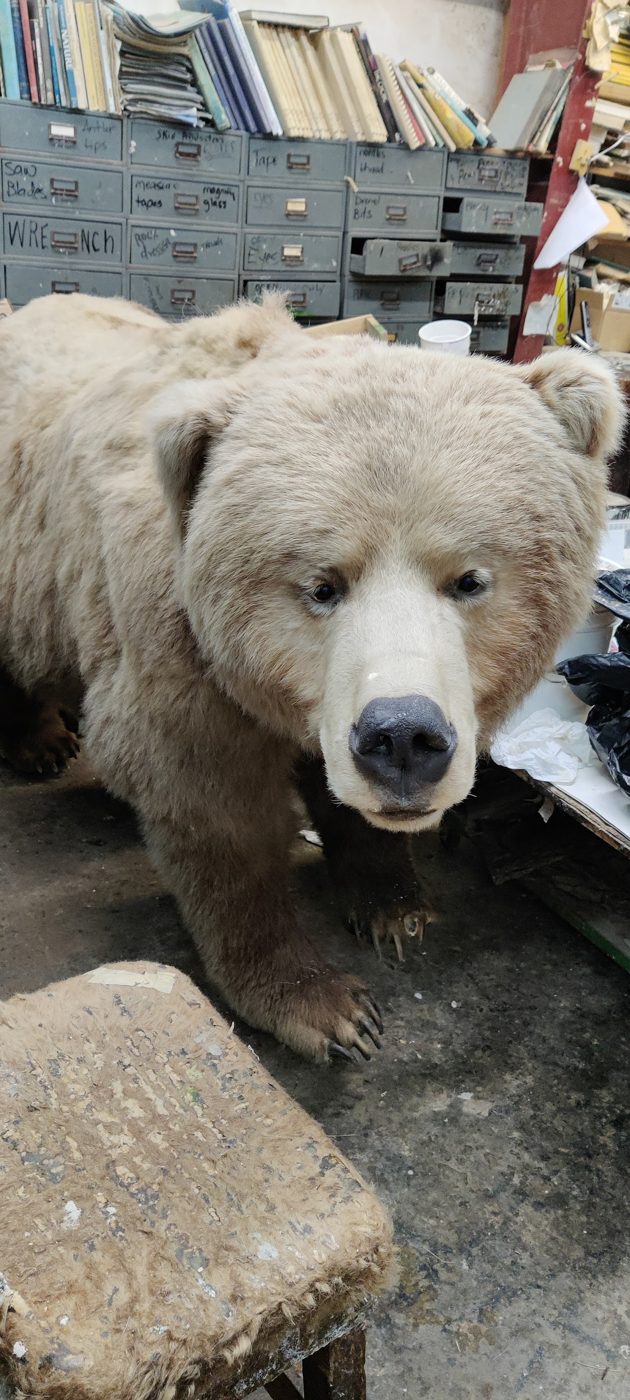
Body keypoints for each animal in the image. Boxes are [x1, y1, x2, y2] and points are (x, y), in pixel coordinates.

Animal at [0, 293, 623, 1061]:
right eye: (321, 586)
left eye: (471, 579)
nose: (404, 737)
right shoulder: (181, 663)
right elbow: (217, 822)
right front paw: (325, 1007)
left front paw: (396, 908)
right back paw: (41, 742)